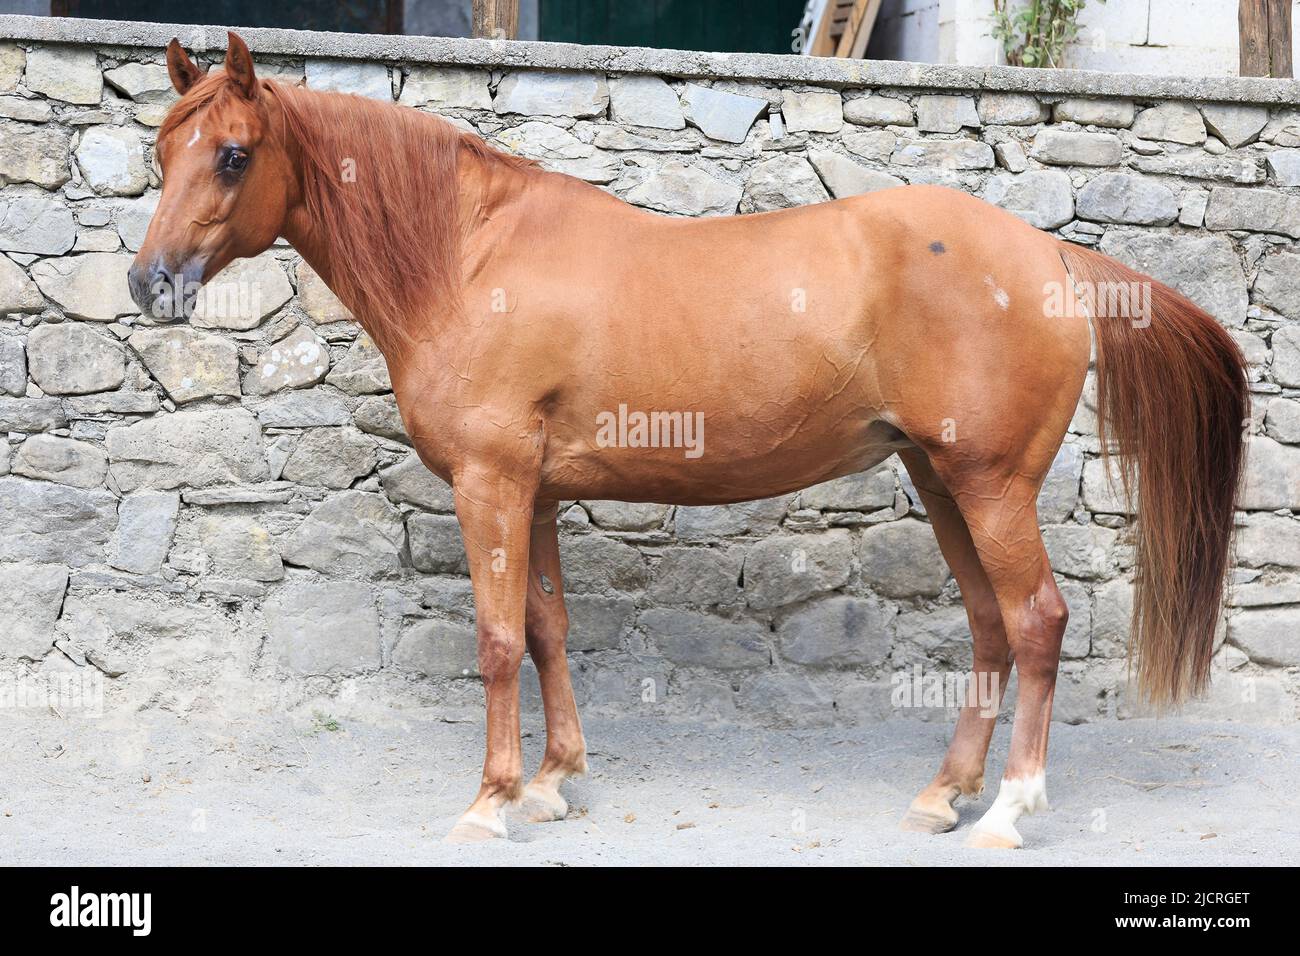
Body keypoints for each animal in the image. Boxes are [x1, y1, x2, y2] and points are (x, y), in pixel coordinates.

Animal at [130, 33, 1248, 848]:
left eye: (232, 154)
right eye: (161, 151)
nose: (149, 282)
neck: (469, 259)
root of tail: (1051, 254)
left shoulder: (490, 484)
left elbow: (496, 642)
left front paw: (490, 801)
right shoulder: (535, 492)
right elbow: (546, 629)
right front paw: (553, 783)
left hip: (989, 483)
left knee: (1035, 621)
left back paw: (1010, 810)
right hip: (942, 481)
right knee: (988, 626)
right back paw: (945, 794)